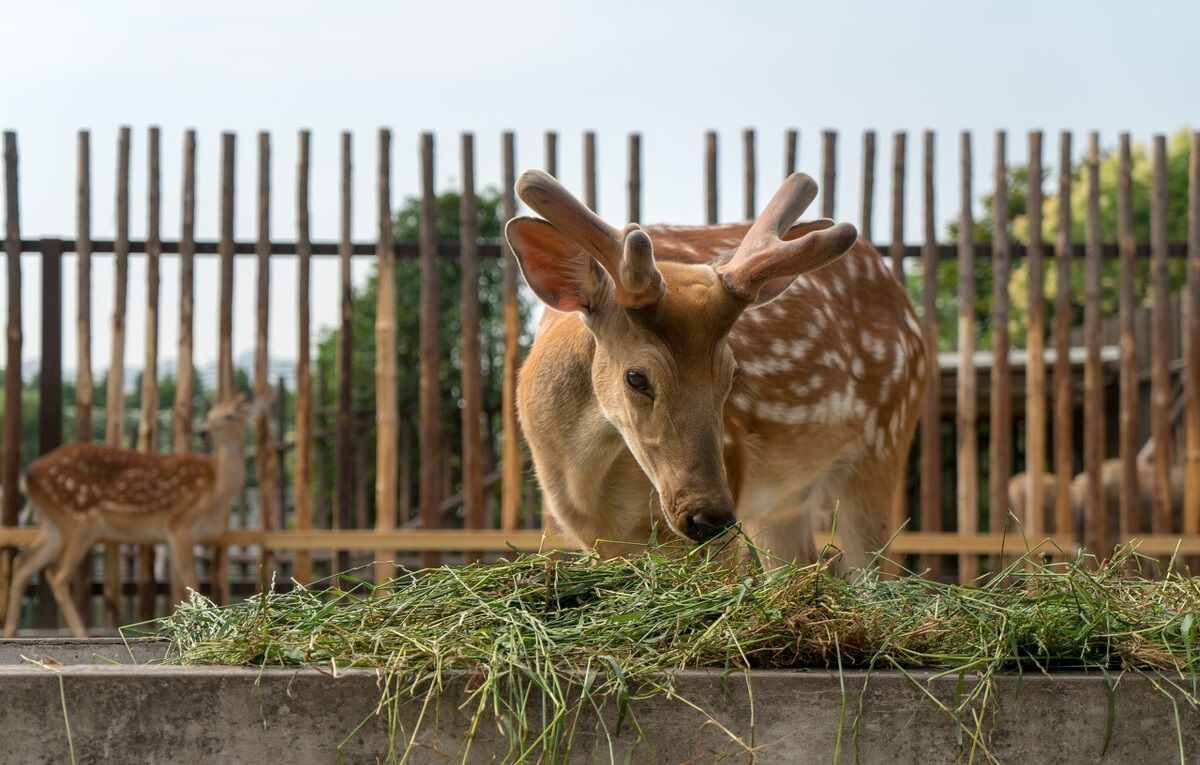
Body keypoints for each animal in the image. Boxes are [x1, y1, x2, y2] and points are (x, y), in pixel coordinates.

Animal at [1, 393, 270, 637]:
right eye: (210, 414)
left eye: (232, 415)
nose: (203, 431)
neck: (216, 490)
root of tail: (28, 476)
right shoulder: (179, 524)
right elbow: (191, 579)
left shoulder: (172, 536)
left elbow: (179, 583)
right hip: (80, 521)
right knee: (56, 574)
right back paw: (81, 634)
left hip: (53, 525)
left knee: (24, 563)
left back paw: (11, 630)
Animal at [506, 173, 926, 570]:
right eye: (636, 377)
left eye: (731, 375)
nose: (709, 517)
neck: (586, 487)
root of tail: (905, 306)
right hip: (783, 503)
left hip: (883, 443)